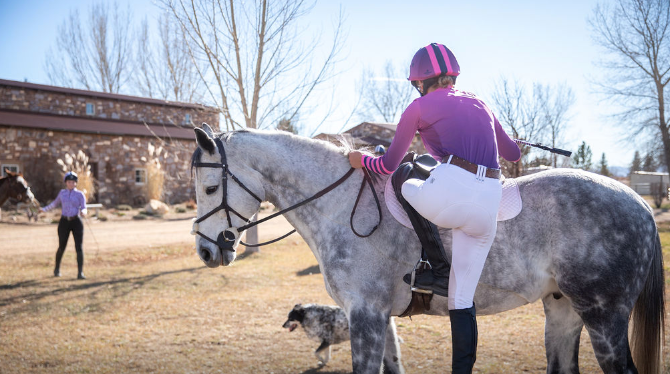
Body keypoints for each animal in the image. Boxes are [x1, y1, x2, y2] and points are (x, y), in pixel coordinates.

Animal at [193, 127, 668, 372]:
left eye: (211, 187)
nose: (206, 252)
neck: (341, 203)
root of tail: (640, 203)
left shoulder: (366, 314)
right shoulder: (378, 317)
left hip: (603, 318)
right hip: (563, 309)